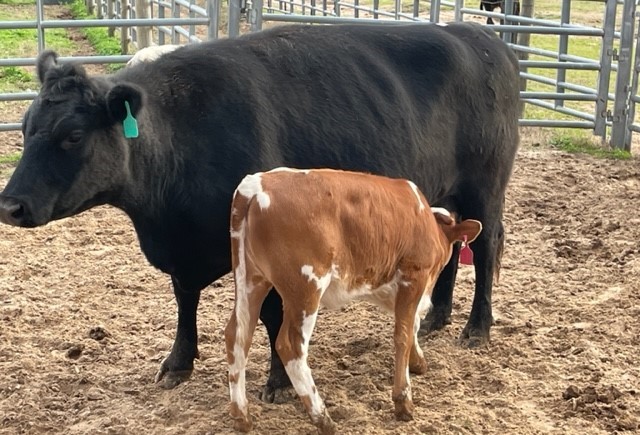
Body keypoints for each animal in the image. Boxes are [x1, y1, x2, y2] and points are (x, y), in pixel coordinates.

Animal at [0, 22, 520, 402]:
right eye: (25, 126)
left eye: (72, 136)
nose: (11, 205)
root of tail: (483, 39)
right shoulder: (183, 252)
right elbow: (184, 300)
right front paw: (178, 363)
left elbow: (273, 315)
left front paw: (280, 382)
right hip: (447, 194)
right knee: (453, 248)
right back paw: (436, 318)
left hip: (485, 187)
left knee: (485, 246)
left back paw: (477, 327)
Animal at [226, 168, 482, 433]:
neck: (428, 222)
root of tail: (255, 185)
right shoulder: (413, 276)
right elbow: (403, 333)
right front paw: (403, 401)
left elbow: (412, 325)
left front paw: (418, 362)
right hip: (305, 288)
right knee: (290, 346)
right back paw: (322, 417)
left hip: (250, 280)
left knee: (237, 337)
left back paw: (242, 416)